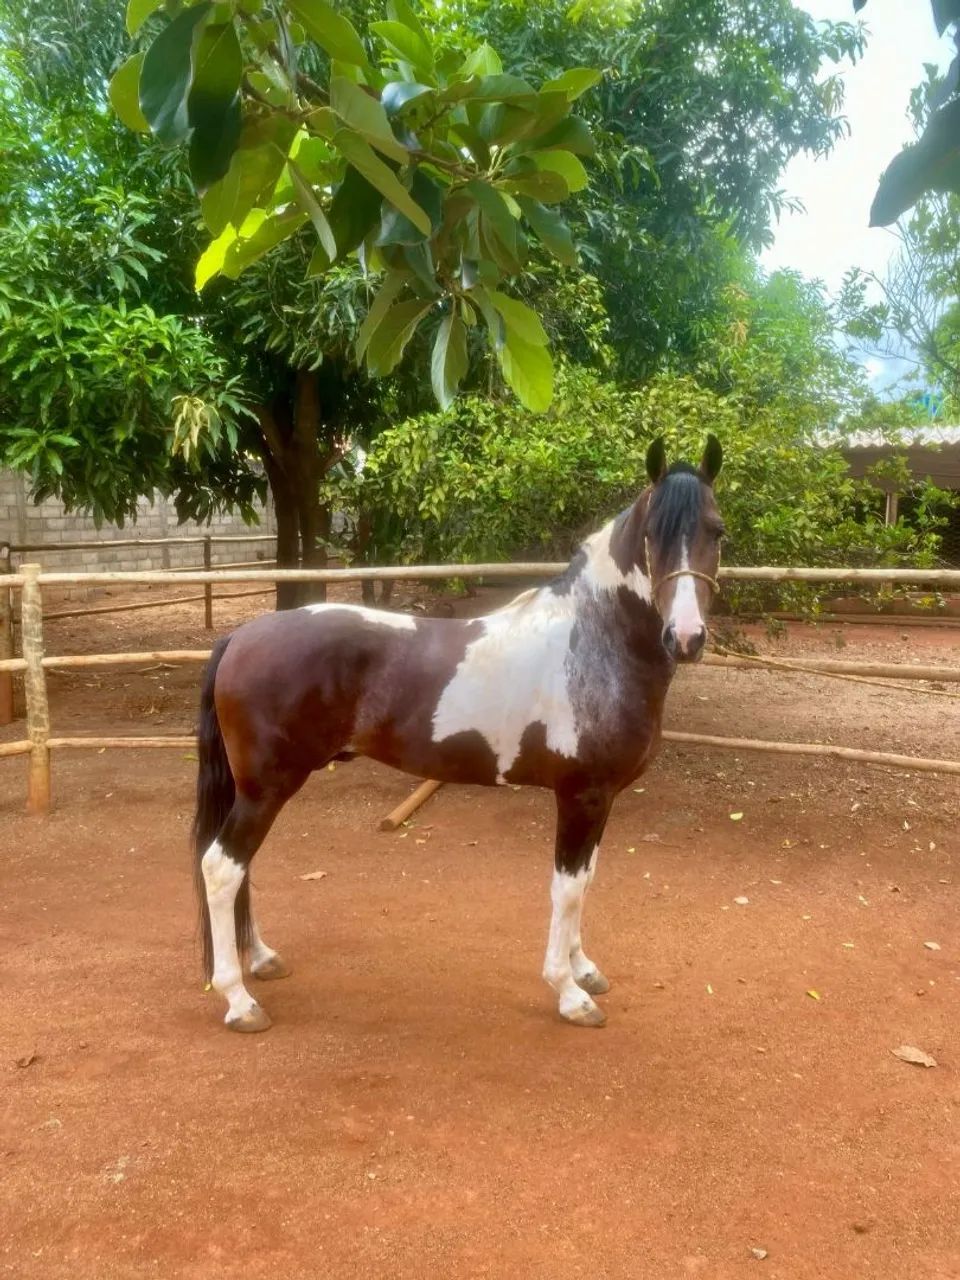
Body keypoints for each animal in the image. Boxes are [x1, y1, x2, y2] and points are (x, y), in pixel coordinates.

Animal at [192, 435, 725, 1033]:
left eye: (717, 530)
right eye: (653, 536)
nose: (685, 637)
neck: (590, 643)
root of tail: (241, 636)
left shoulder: (602, 799)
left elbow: (586, 881)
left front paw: (584, 969)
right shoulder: (581, 796)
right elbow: (566, 889)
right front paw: (568, 992)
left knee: (240, 868)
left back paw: (261, 959)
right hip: (266, 788)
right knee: (221, 868)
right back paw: (238, 999)